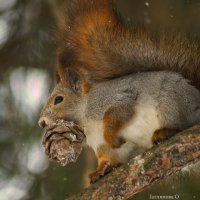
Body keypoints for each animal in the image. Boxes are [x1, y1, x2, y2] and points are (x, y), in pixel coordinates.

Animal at [38, 0, 200, 184]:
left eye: (58, 99)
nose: (41, 122)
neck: (86, 118)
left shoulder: (120, 99)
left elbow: (116, 116)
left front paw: (113, 138)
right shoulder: (99, 143)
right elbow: (107, 157)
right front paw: (99, 171)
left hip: (171, 102)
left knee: (179, 122)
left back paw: (164, 131)